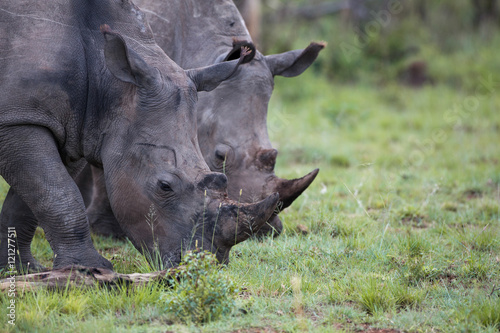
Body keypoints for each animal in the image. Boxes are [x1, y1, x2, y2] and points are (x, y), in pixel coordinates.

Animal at [0, 0, 278, 272]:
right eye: (164, 186)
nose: (207, 265)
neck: (109, 82)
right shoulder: (17, 118)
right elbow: (58, 194)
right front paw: (89, 270)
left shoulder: (75, 127)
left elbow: (34, 197)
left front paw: (20, 269)